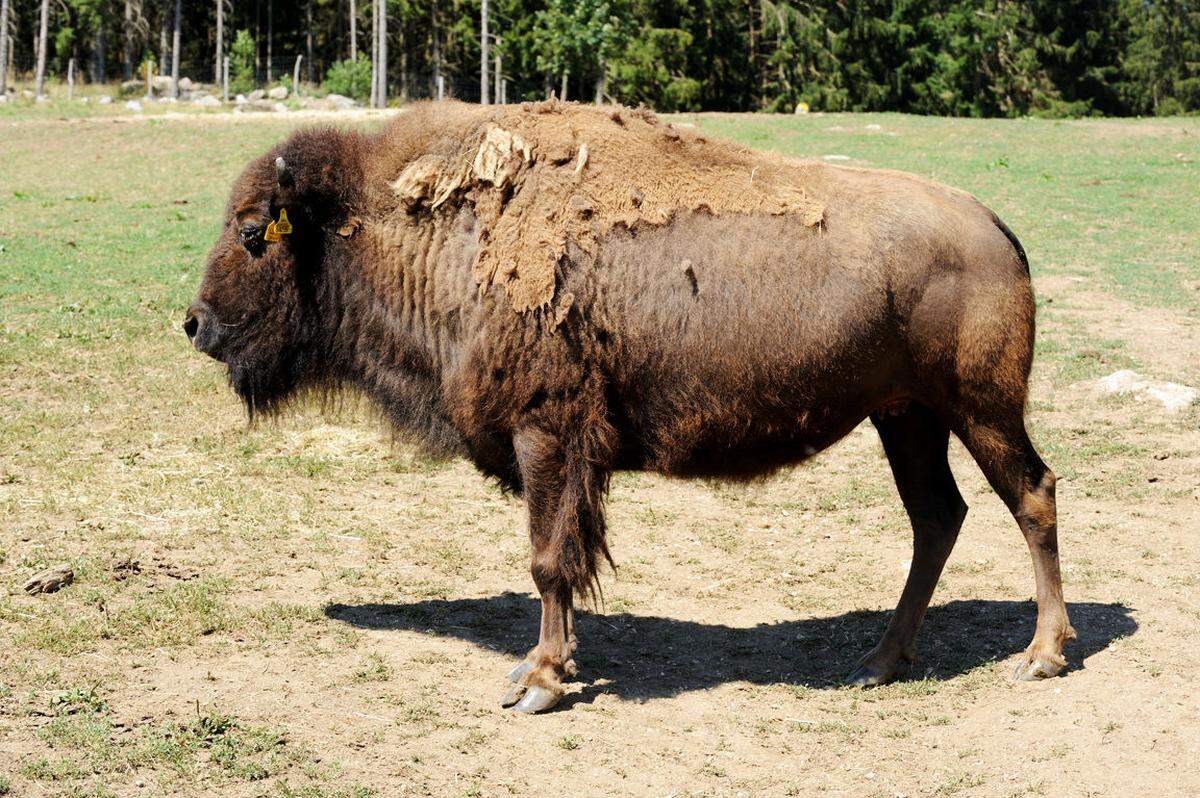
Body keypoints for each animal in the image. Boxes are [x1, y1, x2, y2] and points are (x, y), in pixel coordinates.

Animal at [189, 99, 1080, 710]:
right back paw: (878, 662)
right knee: (938, 517)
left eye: (252, 234)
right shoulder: (570, 456)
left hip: (979, 408)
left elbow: (548, 560)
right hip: (906, 417)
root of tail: (994, 226)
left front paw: (539, 683)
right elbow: (569, 560)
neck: (445, 232)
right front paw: (550, 667)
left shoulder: (547, 437)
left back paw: (1041, 655)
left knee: (1030, 495)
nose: (195, 323)